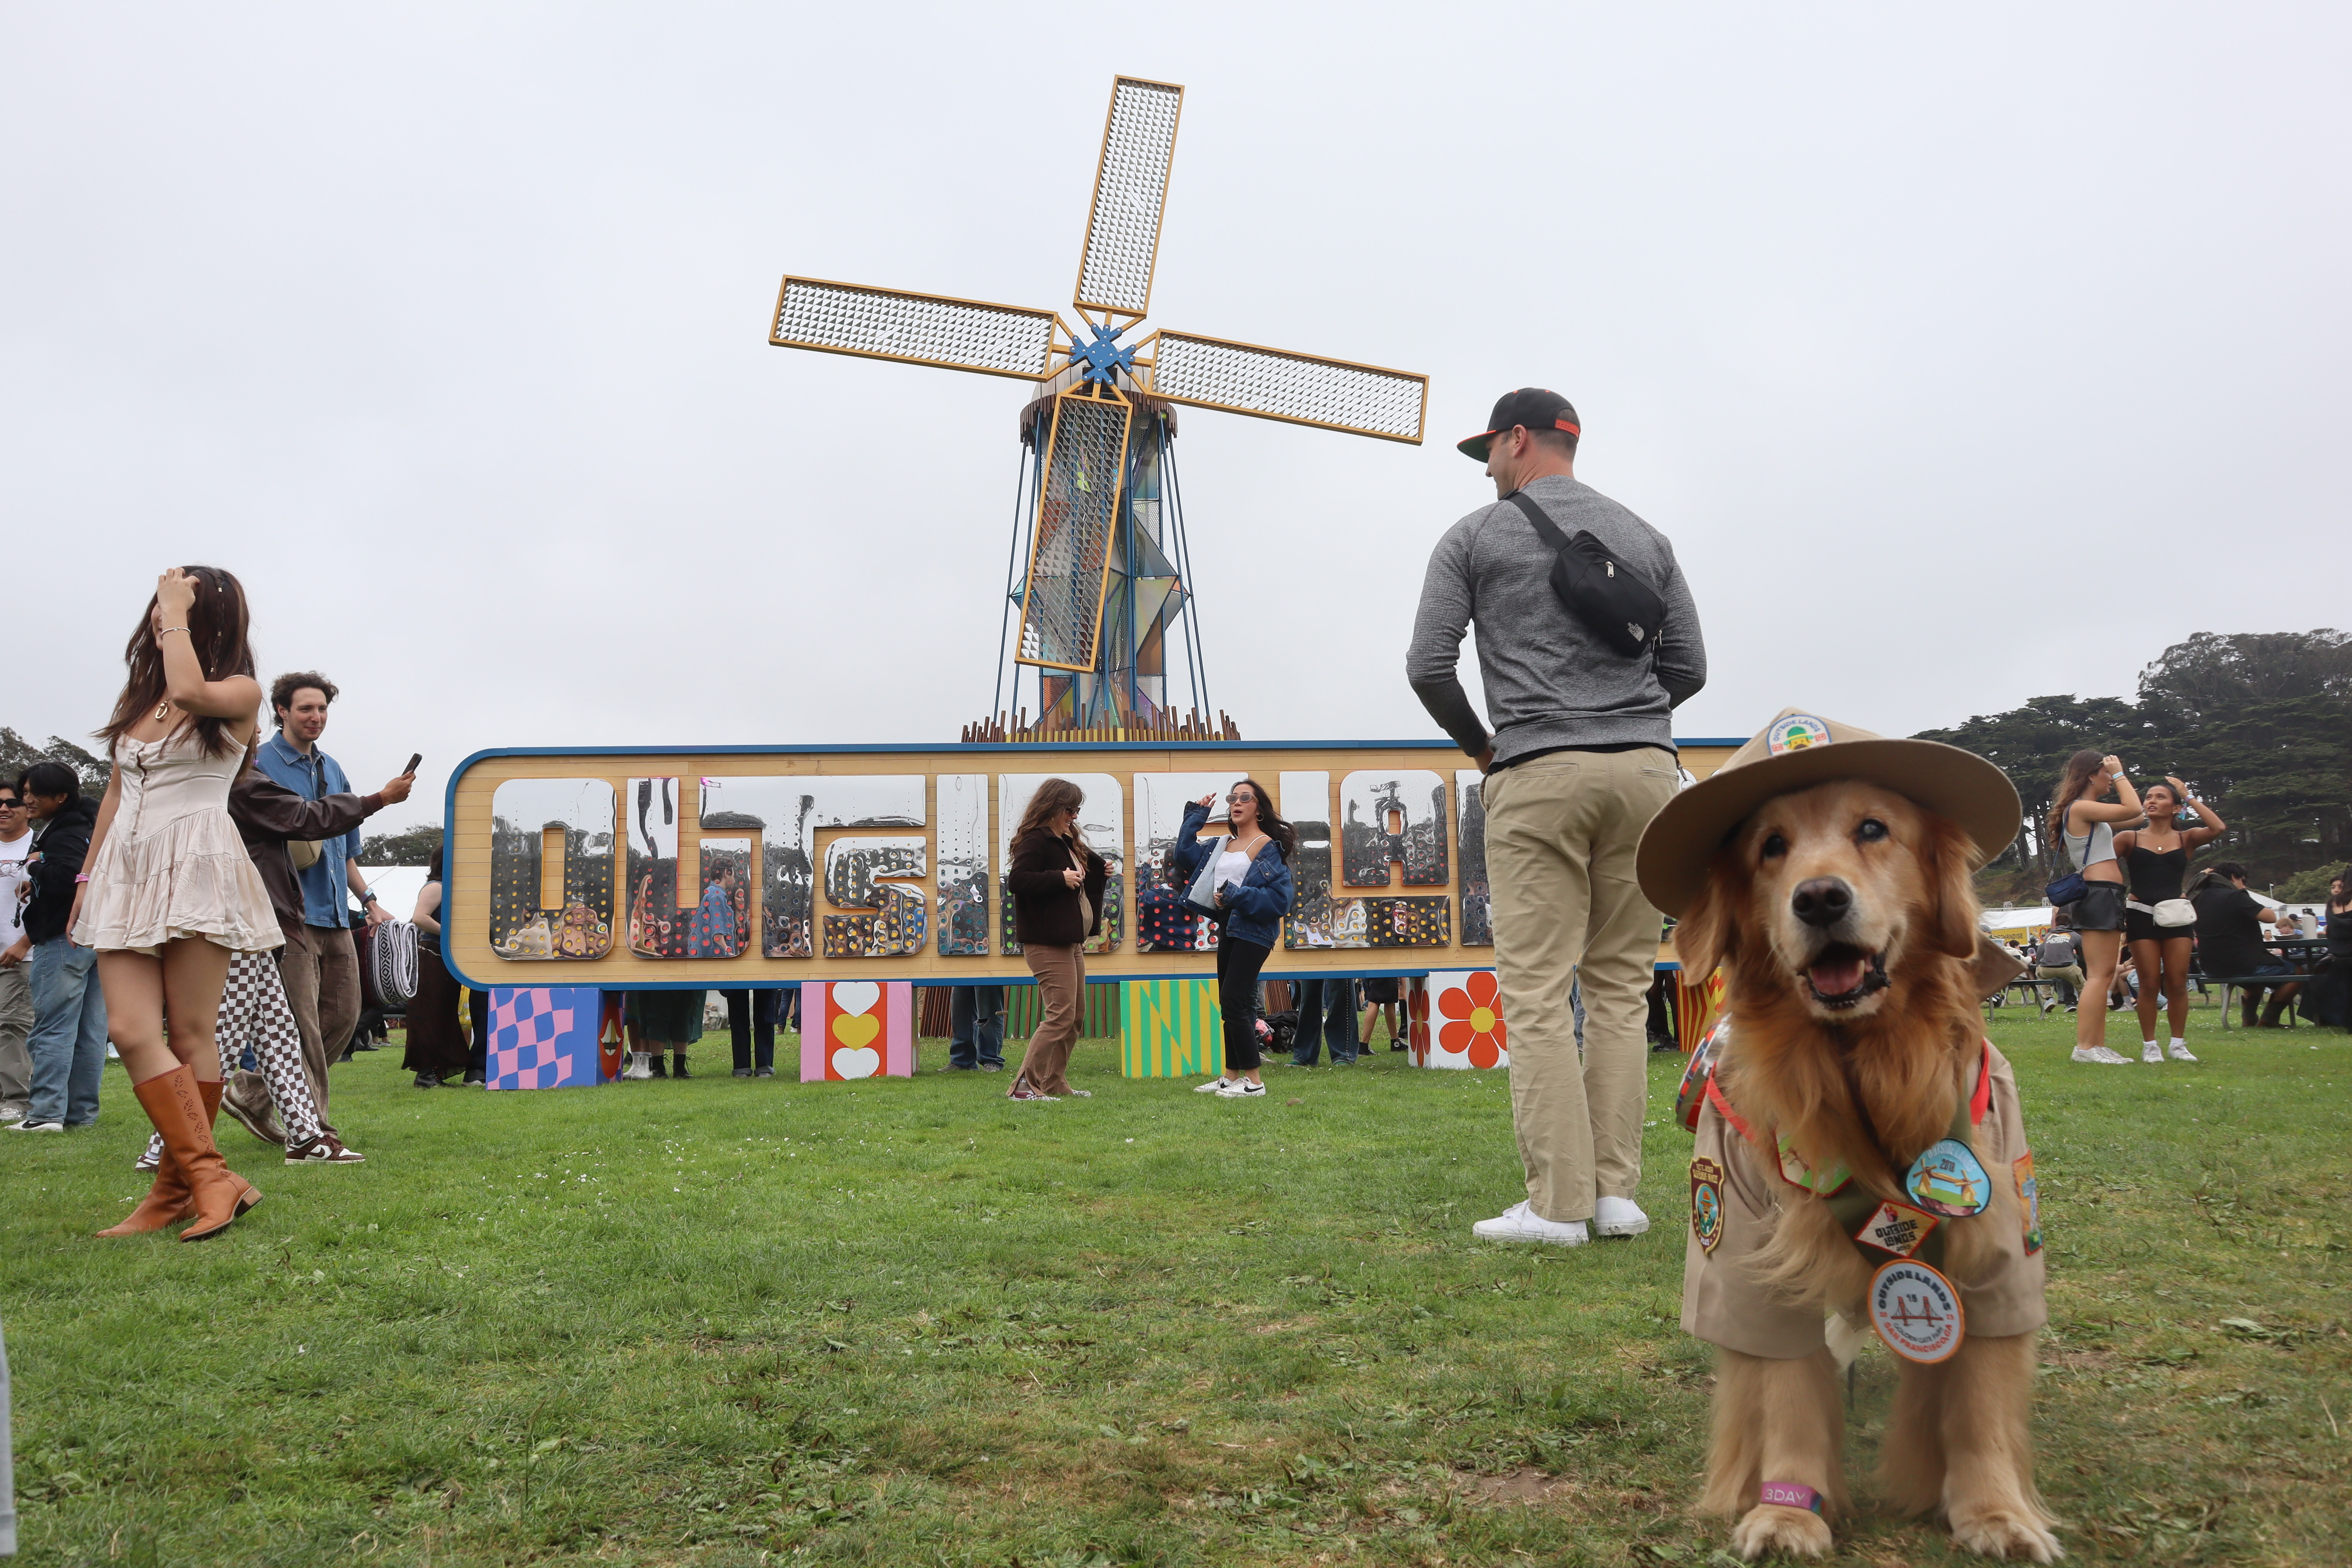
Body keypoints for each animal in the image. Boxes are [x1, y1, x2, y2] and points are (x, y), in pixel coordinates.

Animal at [1656, 743, 2060, 1561]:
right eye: (1771, 846)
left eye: (1874, 828)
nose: (1818, 899)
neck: (1857, 1073)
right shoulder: (1745, 1238)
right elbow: (1786, 1389)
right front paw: (1789, 1511)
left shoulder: (2003, 1224)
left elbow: (1980, 1393)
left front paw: (1995, 1511)